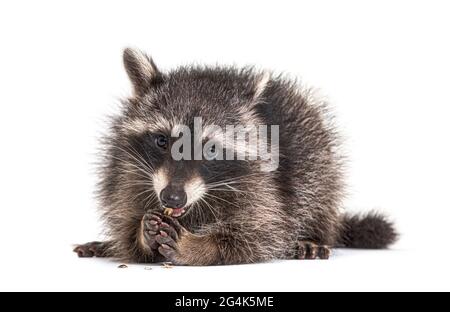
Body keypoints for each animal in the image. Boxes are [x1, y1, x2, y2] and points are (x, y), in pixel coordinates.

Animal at [74, 47, 398, 264]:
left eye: (210, 148)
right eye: (162, 140)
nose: (172, 198)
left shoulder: (263, 187)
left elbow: (262, 233)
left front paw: (202, 246)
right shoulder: (126, 173)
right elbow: (125, 221)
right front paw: (141, 234)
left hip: (316, 147)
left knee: (318, 189)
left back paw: (314, 234)